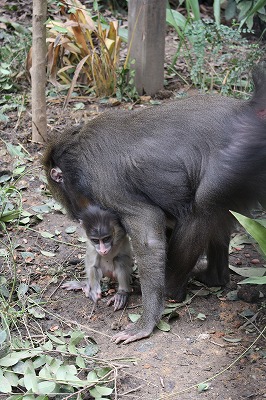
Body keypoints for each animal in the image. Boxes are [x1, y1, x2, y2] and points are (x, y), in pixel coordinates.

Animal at [43, 62, 266, 344]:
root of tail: (249, 108)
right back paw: (214, 277)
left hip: (236, 162)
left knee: (201, 209)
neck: (78, 155)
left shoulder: (104, 183)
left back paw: (169, 290)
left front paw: (146, 322)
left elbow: (149, 229)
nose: (76, 213)